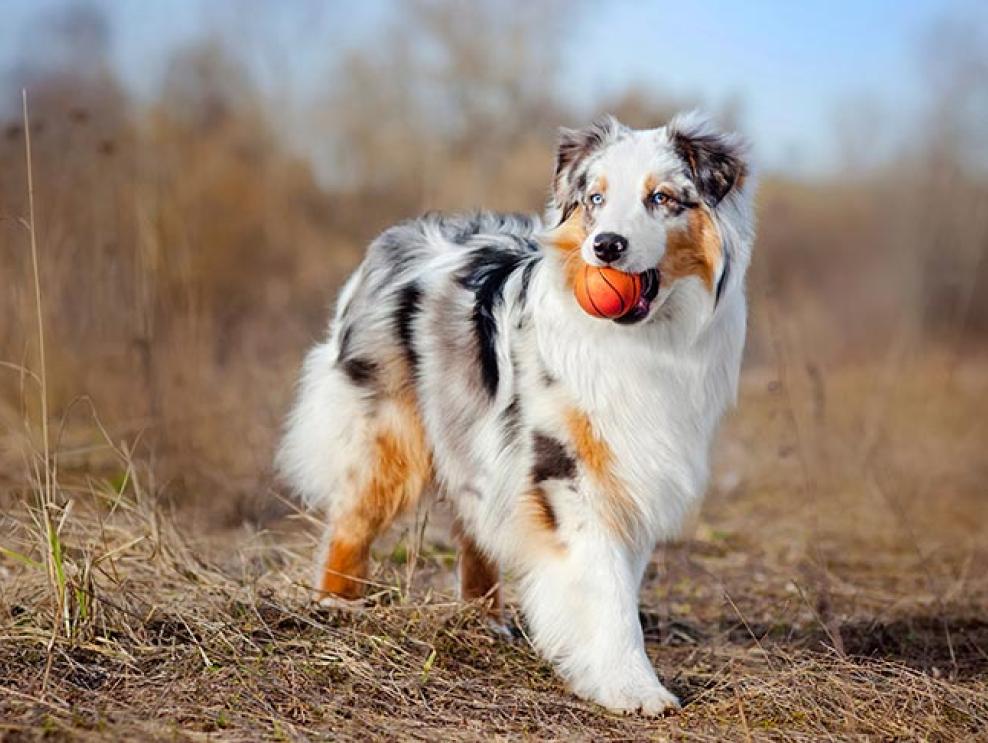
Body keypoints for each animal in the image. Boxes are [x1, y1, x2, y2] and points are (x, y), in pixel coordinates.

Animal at [278, 112, 756, 716]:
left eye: (662, 198)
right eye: (596, 199)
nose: (606, 246)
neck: (644, 341)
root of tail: (396, 237)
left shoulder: (632, 469)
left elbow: (619, 579)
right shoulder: (566, 471)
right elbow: (606, 587)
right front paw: (633, 687)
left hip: (473, 438)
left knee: (473, 525)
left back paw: (484, 621)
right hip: (390, 434)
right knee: (352, 519)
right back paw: (336, 604)